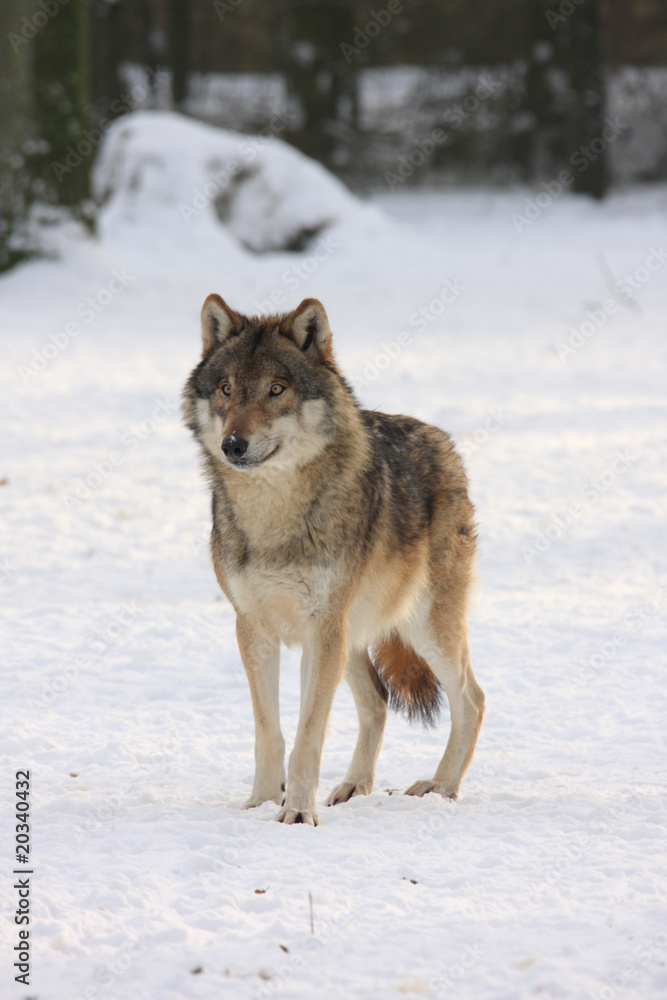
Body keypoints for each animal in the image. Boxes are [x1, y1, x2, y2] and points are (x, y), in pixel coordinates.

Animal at [182, 295, 485, 825]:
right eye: (226, 389)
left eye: (277, 389)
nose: (233, 445)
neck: (273, 516)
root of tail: (443, 441)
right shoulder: (254, 628)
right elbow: (269, 731)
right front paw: (263, 801)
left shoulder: (320, 629)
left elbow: (308, 735)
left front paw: (298, 813)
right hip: (350, 637)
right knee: (379, 701)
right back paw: (354, 786)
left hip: (421, 629)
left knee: (472, 698)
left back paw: (441, 787)